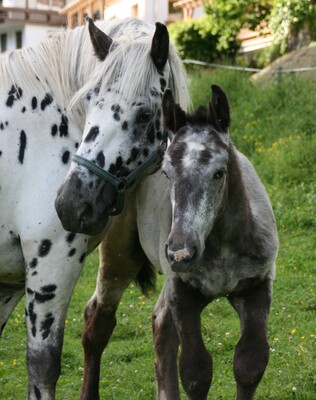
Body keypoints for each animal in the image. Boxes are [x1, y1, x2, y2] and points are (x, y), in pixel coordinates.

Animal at [0, 17, 188, 398]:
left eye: (145, 114)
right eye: (87, 102)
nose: (70, 204)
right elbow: (43, 365)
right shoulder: (52, 263)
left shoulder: (8, 281)